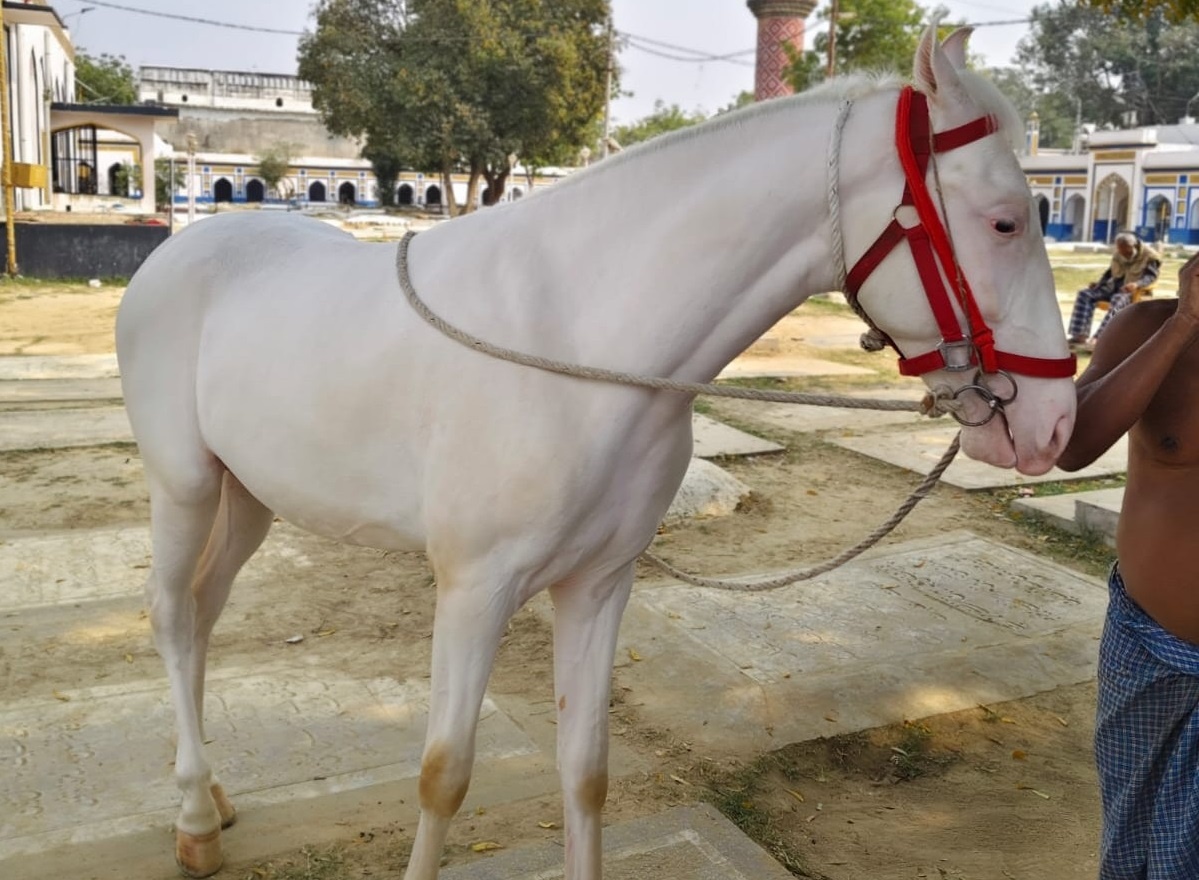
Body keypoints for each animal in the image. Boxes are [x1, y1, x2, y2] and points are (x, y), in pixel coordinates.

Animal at [116, 23, 1076, 880]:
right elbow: (443, 777)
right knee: (170, 616)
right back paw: (194, 818)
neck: (582, 337)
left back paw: (210, 797)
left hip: (250, 495)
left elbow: (585, 774)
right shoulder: (472, 590)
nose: (1054, 426)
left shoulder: (599, 583)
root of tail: (184, 246)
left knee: (202, 611)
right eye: (1001, 222)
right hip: (184, 485)